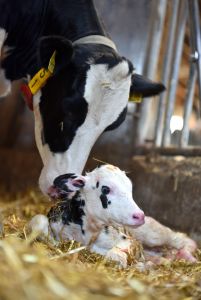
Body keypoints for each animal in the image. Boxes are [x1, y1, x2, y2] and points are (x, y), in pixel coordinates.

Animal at [29, 164, 197, 268]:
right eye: (105, 189)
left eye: (130, 188)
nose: (139, 215)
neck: (87, 233)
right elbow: (39, 221)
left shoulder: (127, 239)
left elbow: (116, 253)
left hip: (153, 233)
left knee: (181, 239)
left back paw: (186, 255)